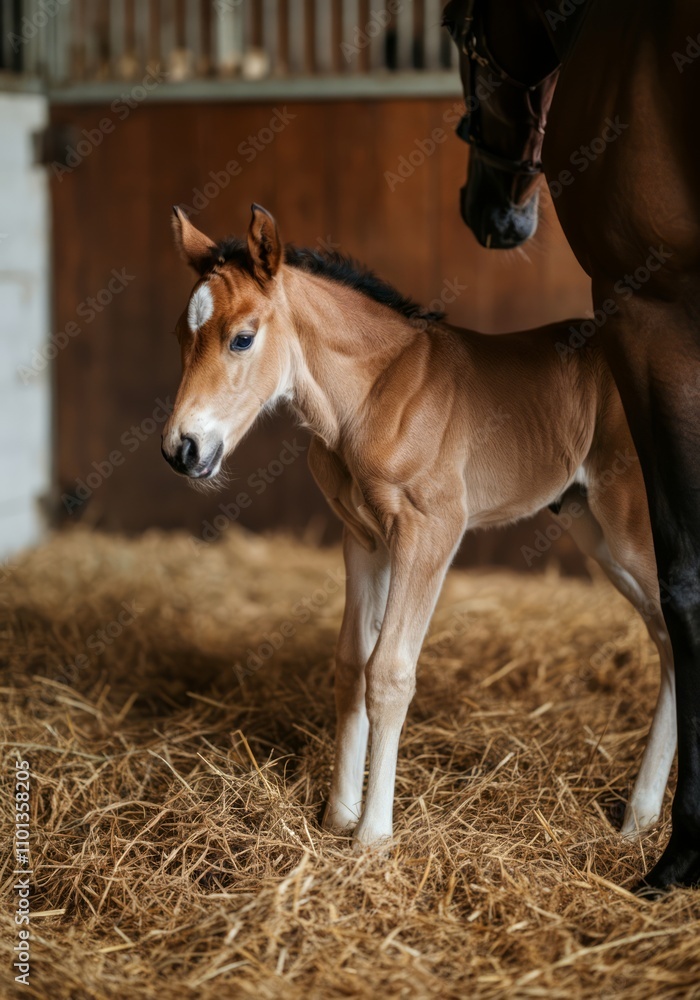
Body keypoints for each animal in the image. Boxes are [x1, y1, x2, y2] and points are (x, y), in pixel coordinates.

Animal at [162, 203, 674, 849]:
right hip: (597, 532)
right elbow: (350, 665)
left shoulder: (429, 531)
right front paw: (337, 817)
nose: (181, 449)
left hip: (632, 525)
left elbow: (389, 671)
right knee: (667, 639)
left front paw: (372, 835)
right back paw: (641, 818)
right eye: (181, 336)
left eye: (243, 338)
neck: (373, 395)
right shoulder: (364, 539)